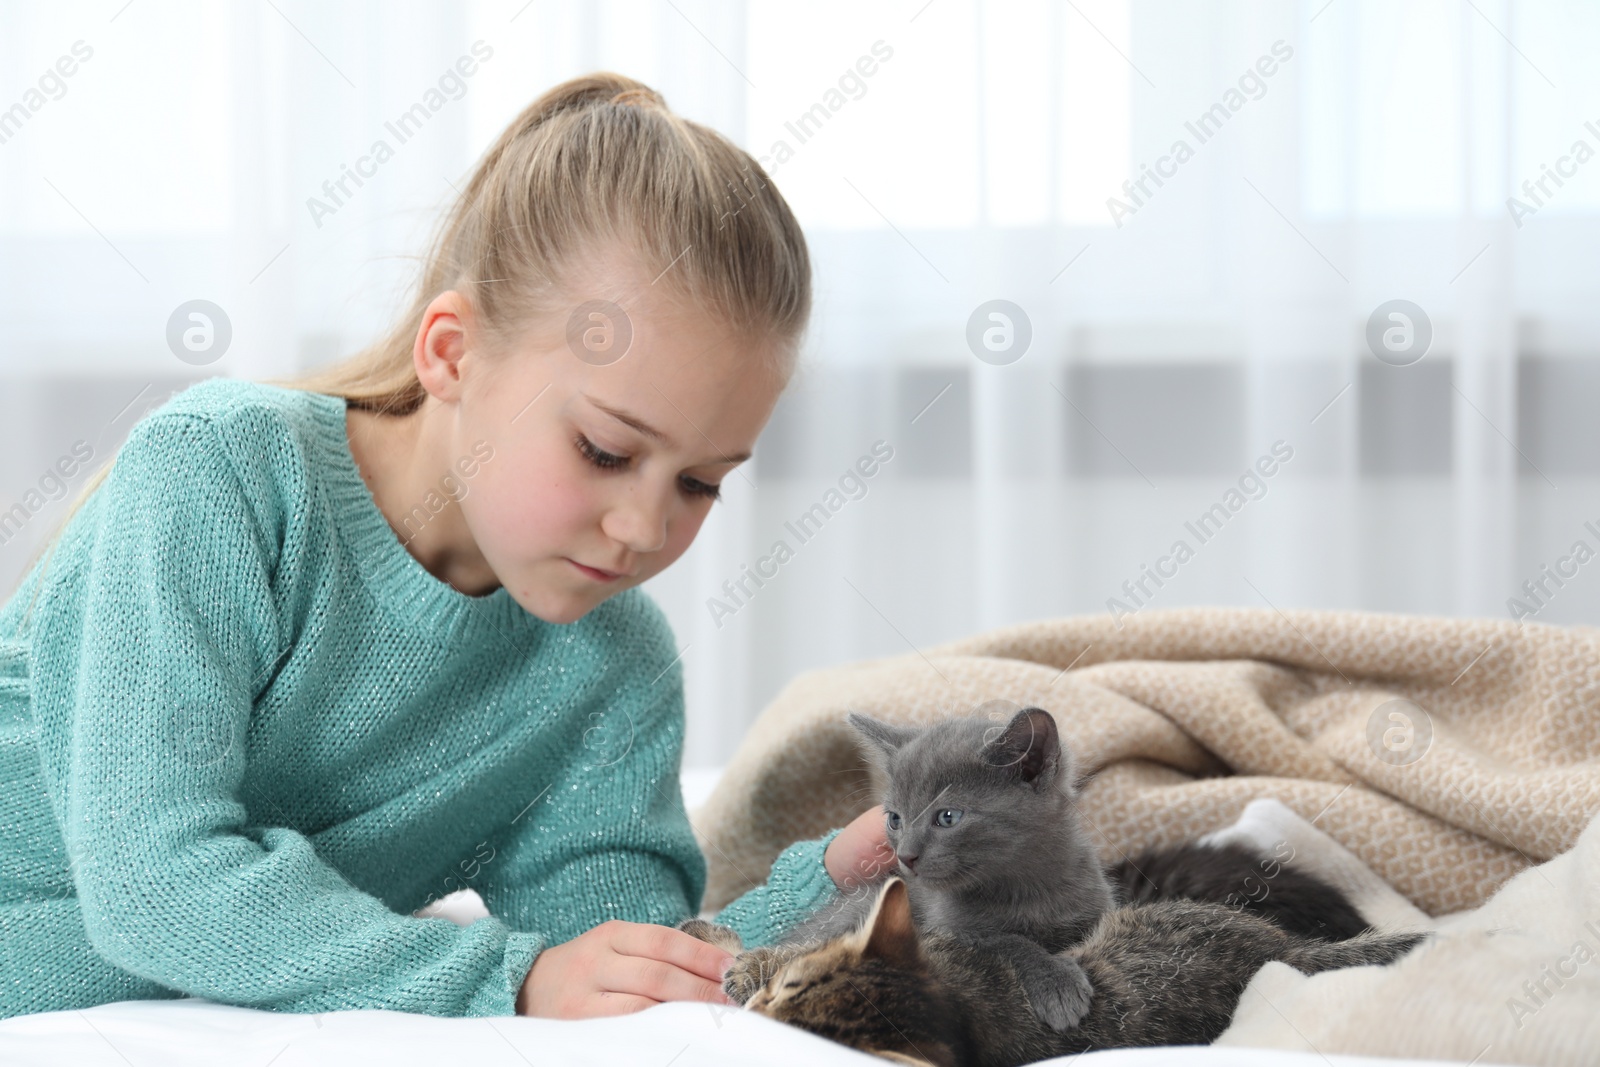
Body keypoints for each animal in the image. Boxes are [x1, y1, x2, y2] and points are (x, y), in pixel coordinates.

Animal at [774, 703, 1113, 1030]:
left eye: (948, 817)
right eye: (895, 819)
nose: (905, 856)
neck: (1024, 888)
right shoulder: (947, 931)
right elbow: (1006, 941)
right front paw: (1056, 983)